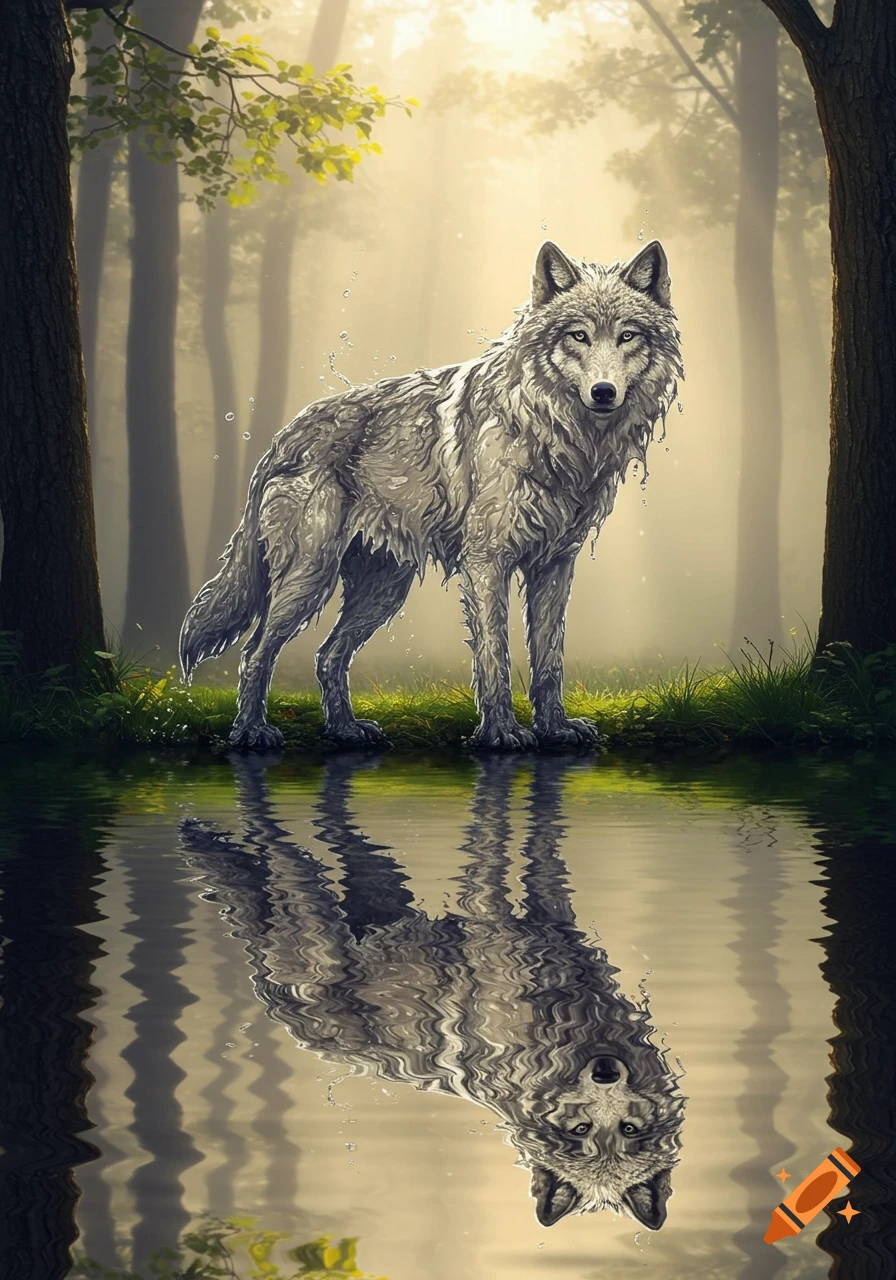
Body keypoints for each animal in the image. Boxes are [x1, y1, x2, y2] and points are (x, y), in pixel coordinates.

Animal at [180, 240, 683, 750]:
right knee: (255, 652)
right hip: (310, 577)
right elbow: (494, 655)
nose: (603, 392)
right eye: (578, 336)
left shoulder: (556, 565)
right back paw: (251, 732)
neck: (554, 434)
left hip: (383, 591)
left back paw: (345, 730)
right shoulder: (486, 561)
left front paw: (555, 729)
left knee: (328, 656)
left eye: (627, 336)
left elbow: (549, 660)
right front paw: (501, 733)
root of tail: (283, 436)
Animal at [180, 754, 686, 1229]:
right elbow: (494, 837)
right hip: (307, 892)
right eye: (581, 1130)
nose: (605, 1072)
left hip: (378, 878)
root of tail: (275, 1003)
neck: (560, 1026)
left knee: (325, 824)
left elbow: (541, 843)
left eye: (628, 1129)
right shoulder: (488, 913)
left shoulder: (553, 913)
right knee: (266, 833)